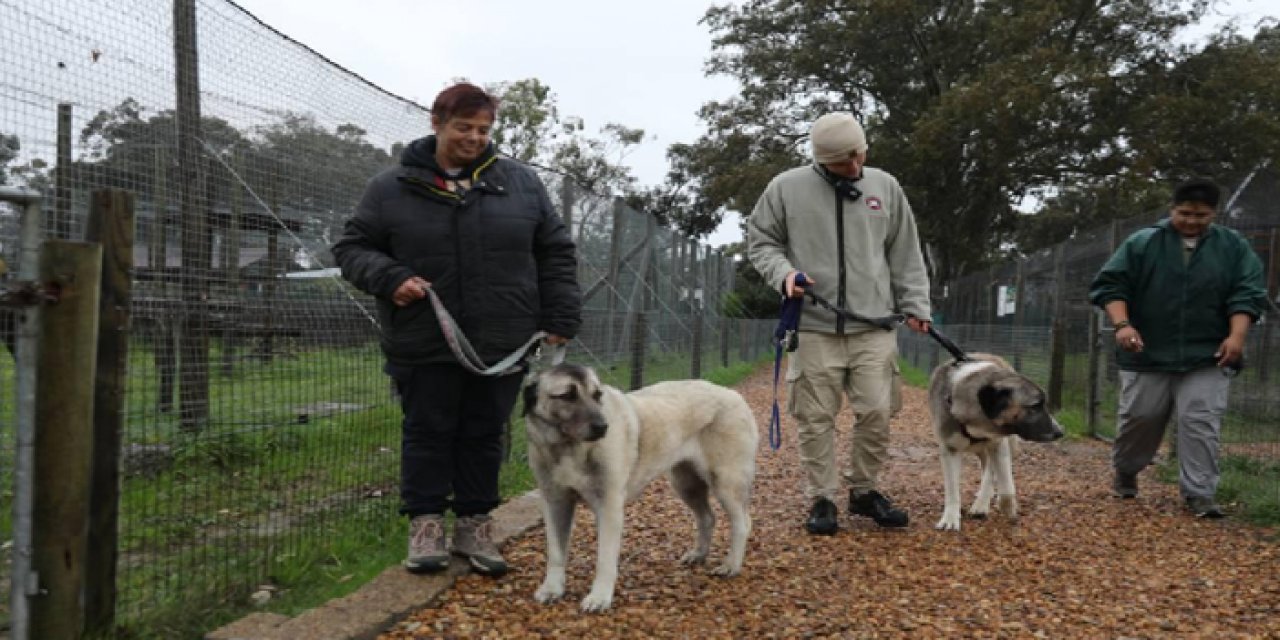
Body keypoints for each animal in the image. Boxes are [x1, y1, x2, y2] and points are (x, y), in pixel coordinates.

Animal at [522, 363, 757, 611]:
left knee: (742, 523)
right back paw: (699, 554)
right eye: (567, 395)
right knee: (707, 518)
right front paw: (552, 589)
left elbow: (605, 559)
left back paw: (731, 565)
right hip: (685, 484)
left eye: (597, 395)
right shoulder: (555, 504)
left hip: (725, 482)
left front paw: (599, 597)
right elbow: (556, 553)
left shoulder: (609, 509)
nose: (603, 427)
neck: (568, 448)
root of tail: (731, 394)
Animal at [926, 355, 1064, 529]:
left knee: (992, 472)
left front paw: (1007, 507)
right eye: (1035, 406)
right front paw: (950, 518)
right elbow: (952, 488)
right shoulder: (949, 450)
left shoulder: (998, 444)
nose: (1060, 432)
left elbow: (1005, 486)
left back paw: (983, 503)